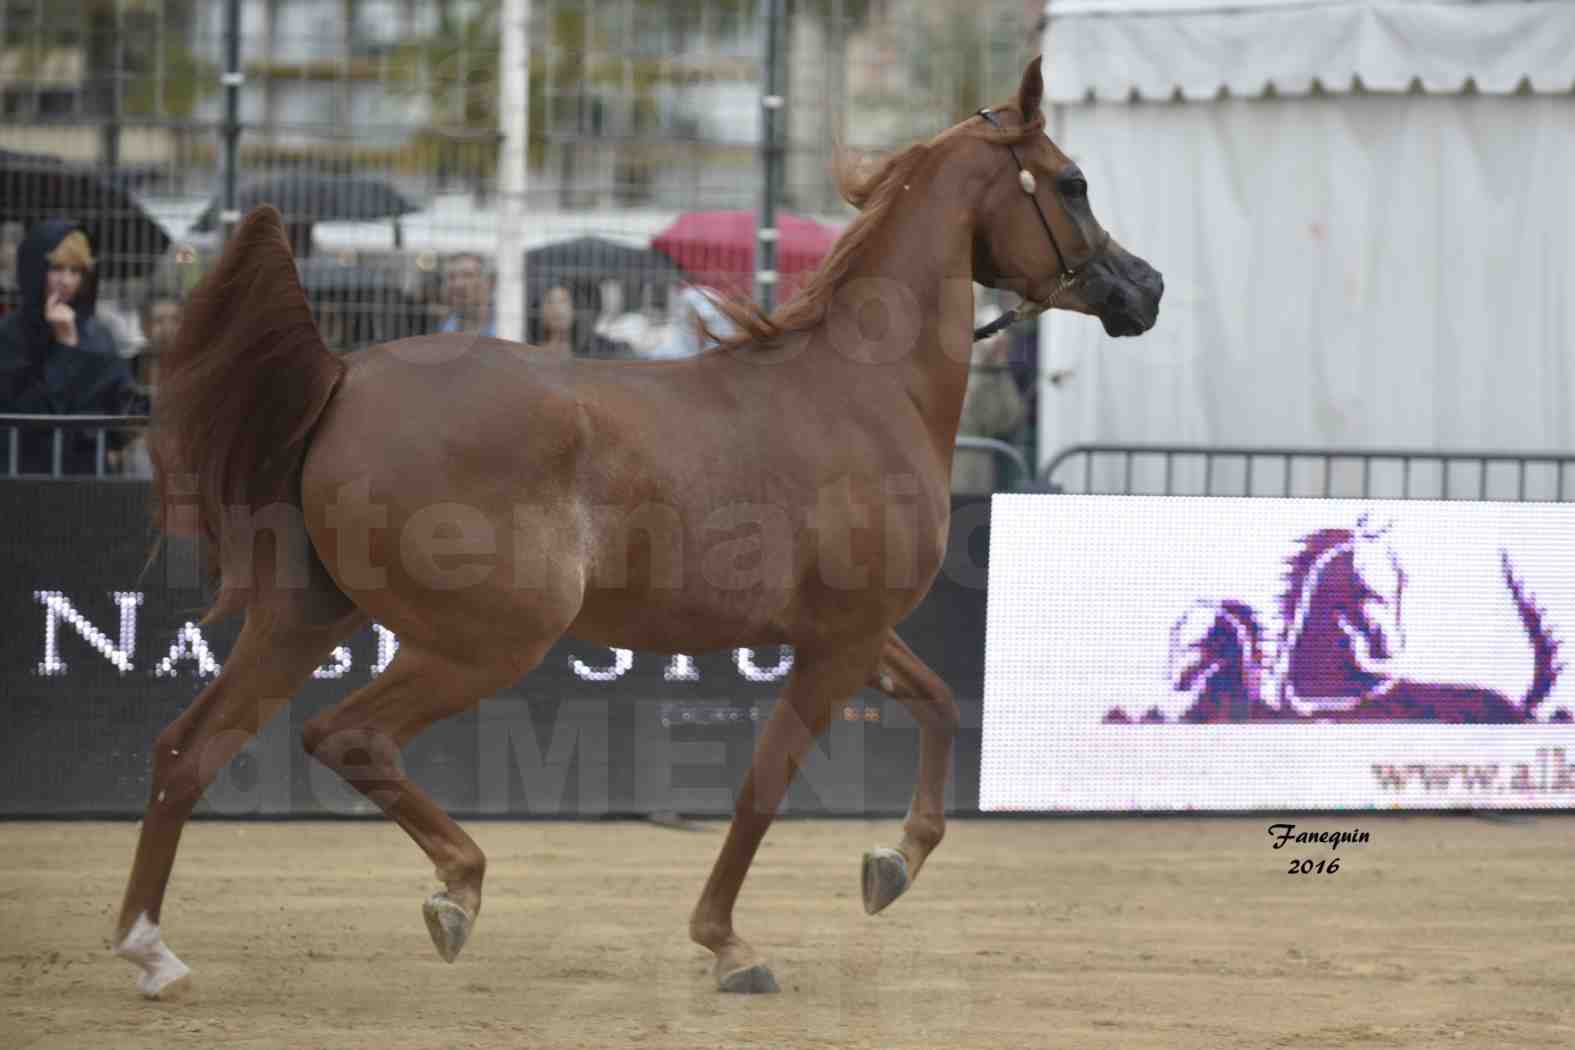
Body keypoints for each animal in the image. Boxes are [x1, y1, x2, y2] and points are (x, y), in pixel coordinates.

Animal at [114, 59, 1159, 1001]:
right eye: (1071, 180)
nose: (1140, 289)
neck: (860, 391)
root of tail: (344, 376)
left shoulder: (853, 635)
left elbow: (939, 704)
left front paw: (891, 864)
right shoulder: (838, 644)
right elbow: (763, 785)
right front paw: (728, 944)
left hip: (305, 617)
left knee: (185, 751)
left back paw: (149, 950)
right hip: (486, 641)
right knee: (347, 738)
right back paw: (456, 890)